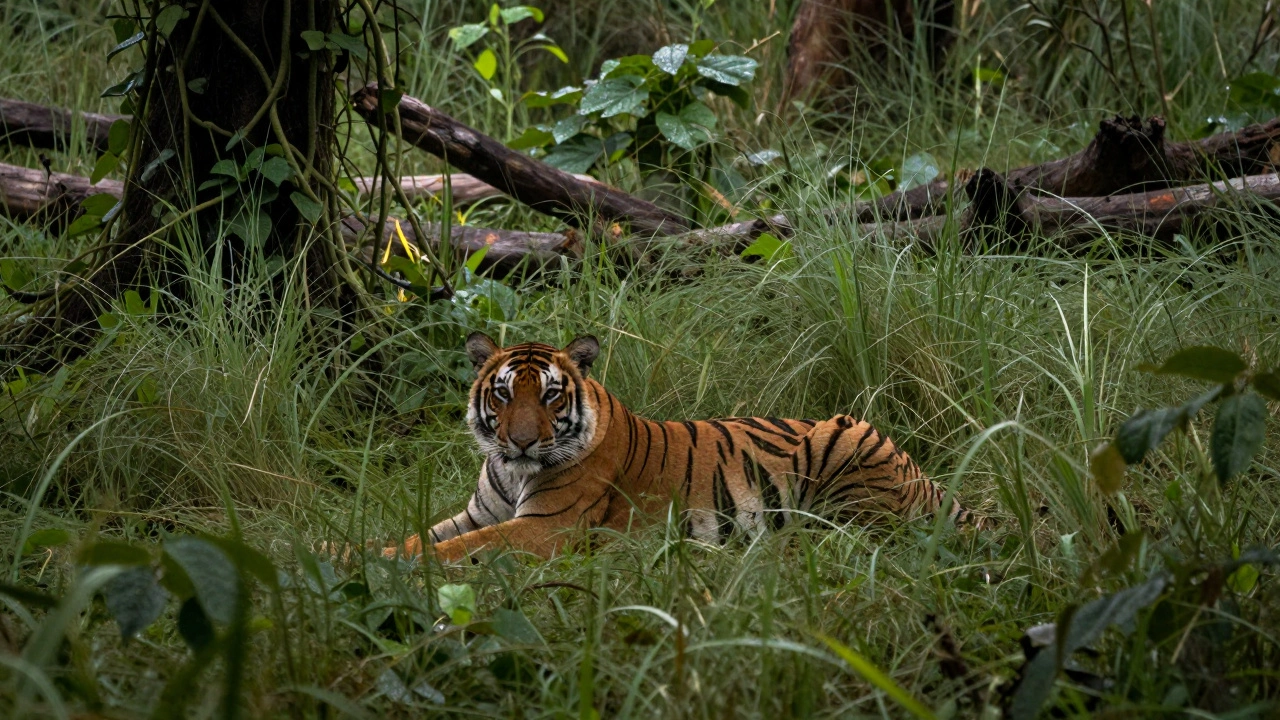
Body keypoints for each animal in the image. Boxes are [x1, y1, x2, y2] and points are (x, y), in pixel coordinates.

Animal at [369, 333, 971, 564]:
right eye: (502, 394)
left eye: (549, 395)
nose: (519, 441)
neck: (513, 471)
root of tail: (925, 476)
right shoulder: (479, 513)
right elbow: (422, 536)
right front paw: (356, 553)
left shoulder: (545, 528)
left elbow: (448, 551)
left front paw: (382, 567)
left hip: (846, 441)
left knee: (856, 537)